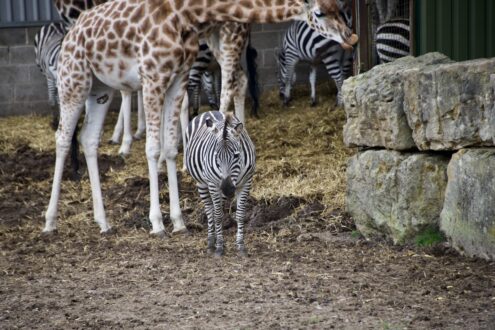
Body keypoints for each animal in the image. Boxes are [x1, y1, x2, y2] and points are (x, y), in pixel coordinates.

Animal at [44, 0, 356, 237]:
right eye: (320, 12)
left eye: (339, 7)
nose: (351, 37)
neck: (183, 12)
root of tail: (71, 34)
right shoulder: (153, 76)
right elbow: (152, 148)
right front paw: (157, 223)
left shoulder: (176, 77)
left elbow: (170, 147)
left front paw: (178, 221)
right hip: (74, 78)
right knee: (62, 137)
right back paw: (49, 222)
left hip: (100, 87)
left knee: (88, 139)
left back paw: (103, 222)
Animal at [185, 111, 256, 258]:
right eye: (216, 155)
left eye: (236, 156)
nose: (227, 188)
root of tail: (209, 111)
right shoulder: (214, 184)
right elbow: (217, 216)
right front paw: (219, 248)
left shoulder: (246, 182)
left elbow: (240, 214)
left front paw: (241, 246)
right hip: (202, 184)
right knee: (210, 211)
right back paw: (212, 243)